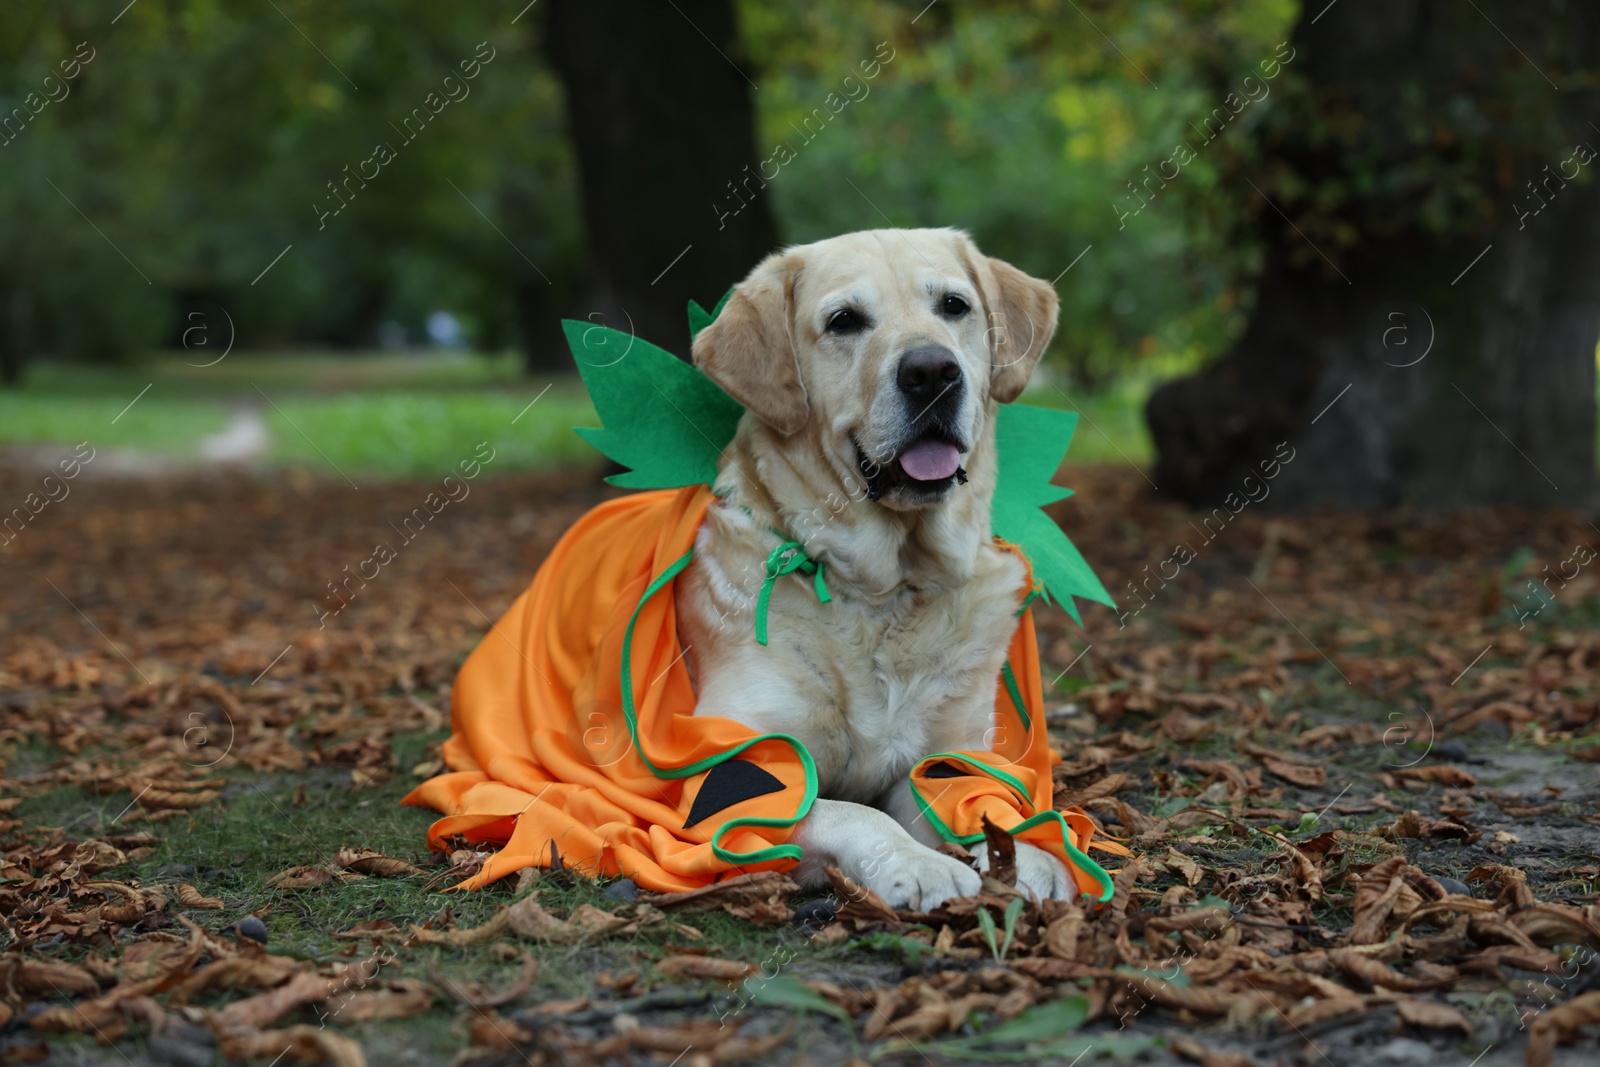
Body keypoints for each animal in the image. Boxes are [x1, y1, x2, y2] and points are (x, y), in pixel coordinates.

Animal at [678, 227, 1075, 908]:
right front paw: (917, 864)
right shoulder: (732, 778)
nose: (932, 371)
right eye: (844, 320)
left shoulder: (947, 754)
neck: (888, 589)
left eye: (954, 306)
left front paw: (1029, 855)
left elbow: (975, 803)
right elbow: (852, 811)